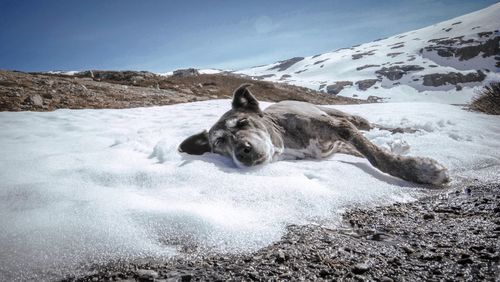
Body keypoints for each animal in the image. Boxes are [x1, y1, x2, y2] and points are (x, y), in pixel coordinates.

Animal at [179, 83, 450, 185]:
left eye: (243, 122)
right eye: (219, 141)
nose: (243, 152)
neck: (286, 141)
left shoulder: (341, 127)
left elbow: (376, 156)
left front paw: (421, 171)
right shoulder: (338, 145)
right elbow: (370, 152)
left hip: (345, 115)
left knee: (371, 125)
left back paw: (408, 131)